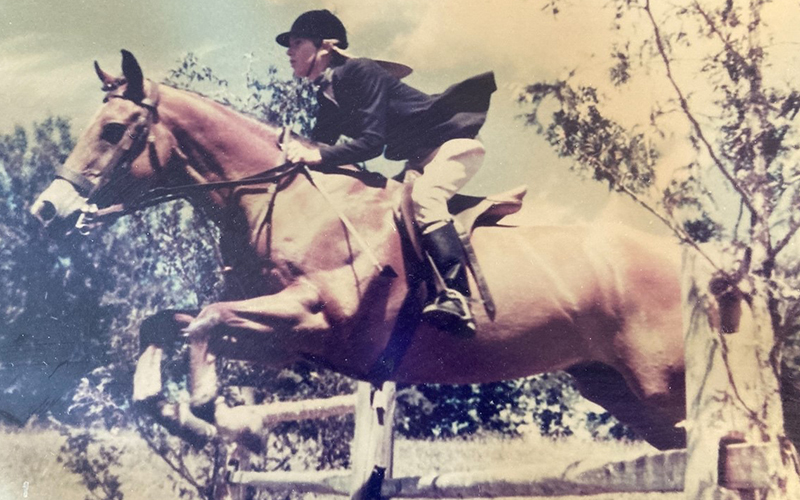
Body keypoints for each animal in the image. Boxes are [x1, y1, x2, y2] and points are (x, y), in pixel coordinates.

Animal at [28, 49, 684, 450]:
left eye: (114, 131)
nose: (47, 211)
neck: (280, 198)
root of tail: (688, 262)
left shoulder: (313, 312)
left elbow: (206, 320)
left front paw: (227, 417)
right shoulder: (284, 341)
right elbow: (165, 324)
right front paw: (179, 414)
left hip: (661, 379)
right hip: (622, 391)